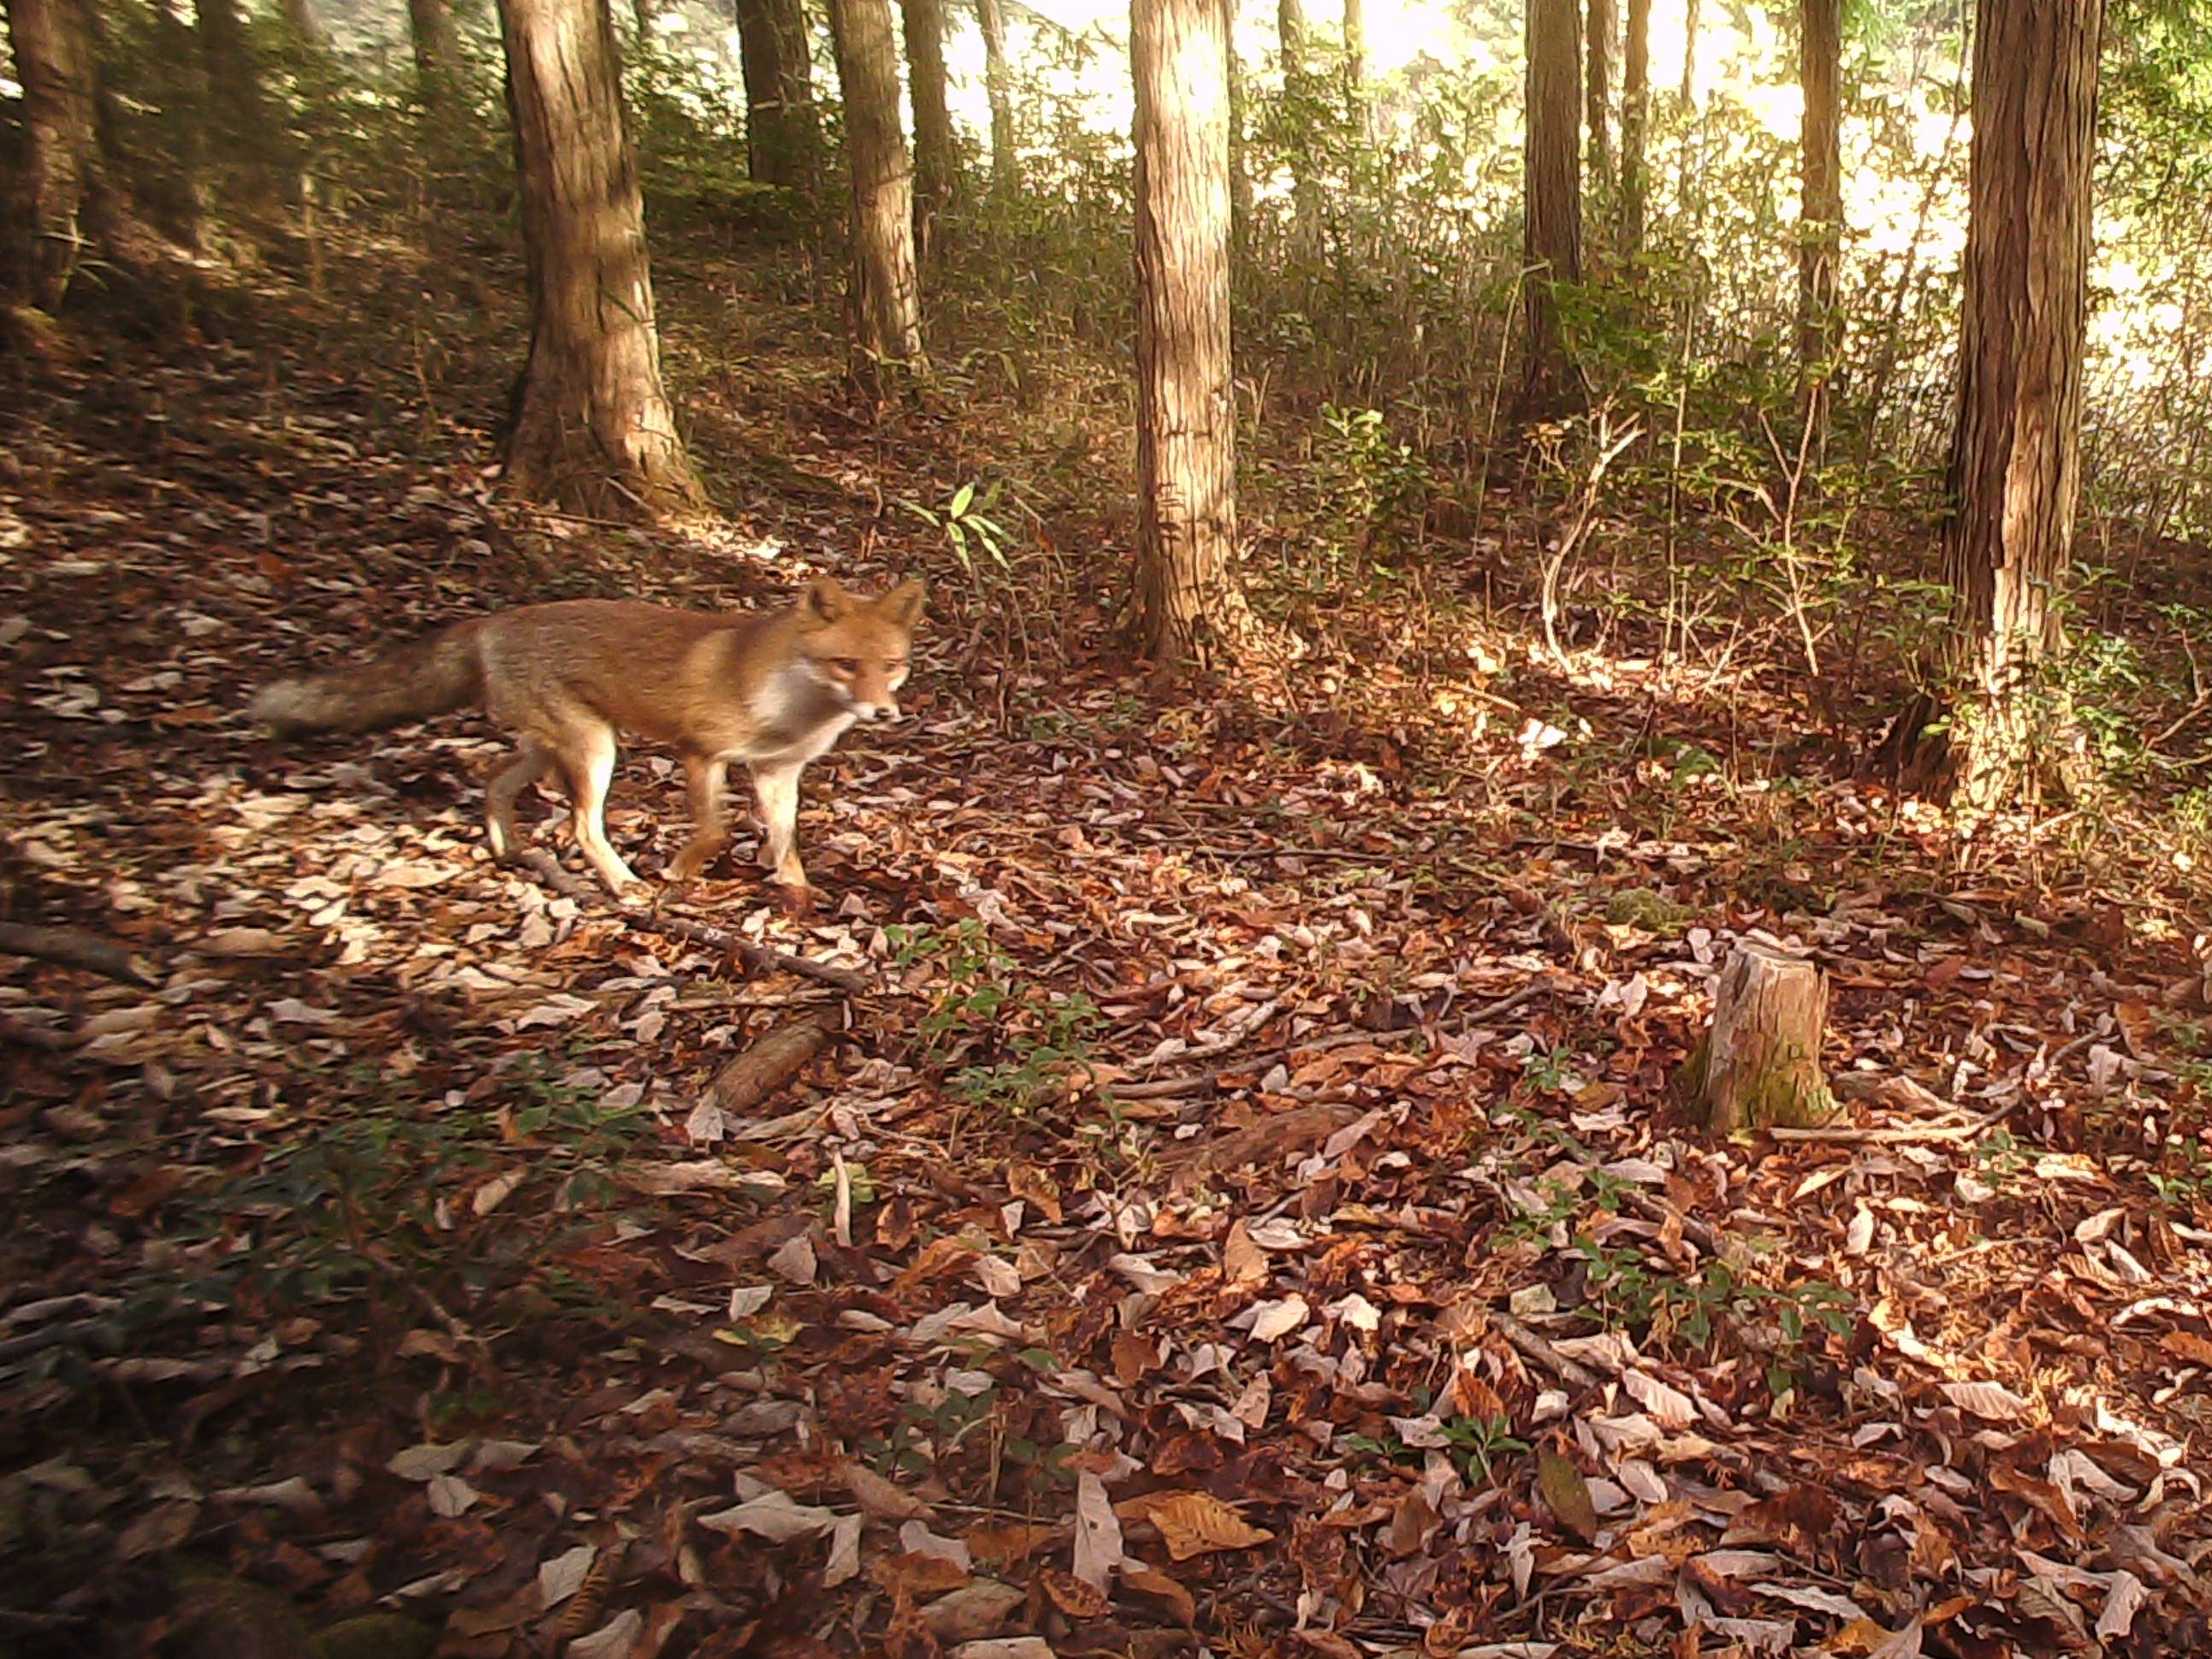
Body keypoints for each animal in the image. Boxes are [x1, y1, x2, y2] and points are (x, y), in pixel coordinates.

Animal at [246, 579, 920, 902]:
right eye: (843, 664)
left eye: (890, 666)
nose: (883, 712)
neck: (789, 706)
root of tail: (493, 620)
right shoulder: (700, 754)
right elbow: (713, 832)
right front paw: (678, 872)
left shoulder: (777, 772)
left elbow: (786, 845)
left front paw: (798, 896)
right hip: (596, 751)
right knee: (580, 825)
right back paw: (621, 882)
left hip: (557, 747)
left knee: (493, 783)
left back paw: (508, 847)